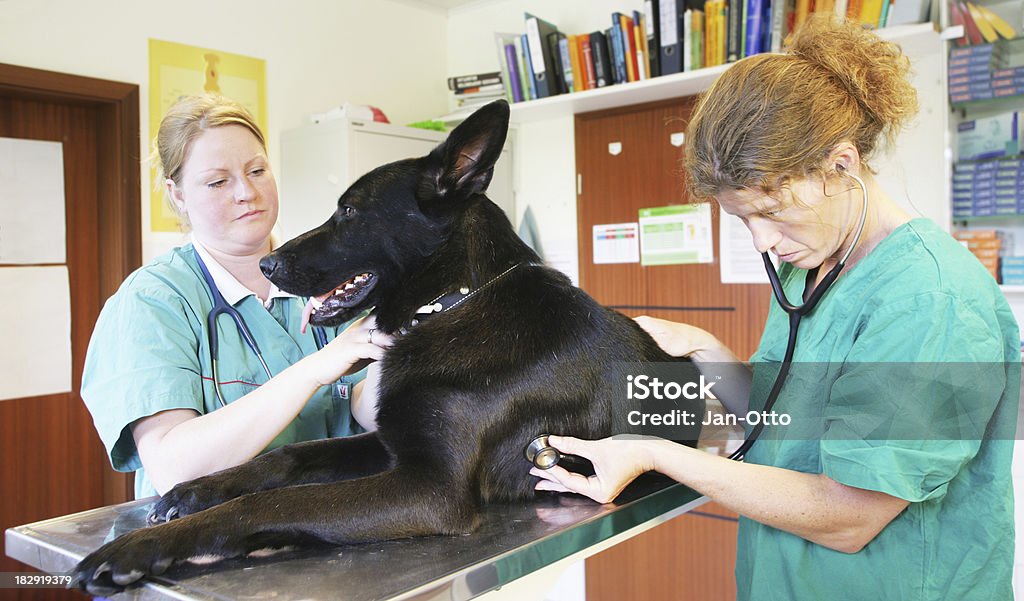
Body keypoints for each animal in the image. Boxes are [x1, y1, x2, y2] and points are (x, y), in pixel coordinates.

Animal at [70, 101, 696, 593]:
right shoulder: (390, 445)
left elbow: (274, 502)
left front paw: (140, 547)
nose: (268, 266)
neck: (453, 302)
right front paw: (198, 488)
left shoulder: (428, 488)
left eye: (350, 211)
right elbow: (286, 457)